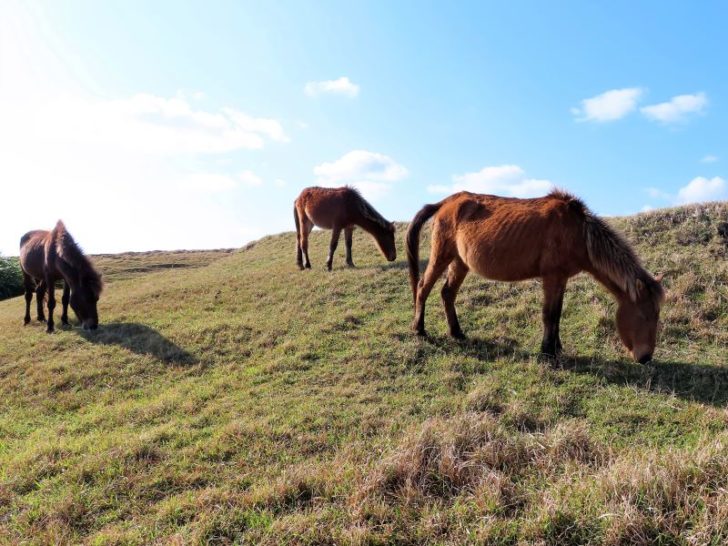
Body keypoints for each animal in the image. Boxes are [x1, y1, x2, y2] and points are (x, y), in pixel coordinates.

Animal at [406, 189, 664, 364]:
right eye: (645, 315)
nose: (646, 357)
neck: (579, 233)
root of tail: (446, 202)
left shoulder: (561, 279)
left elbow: (557, 314)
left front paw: (556, 348)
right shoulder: (552, 277)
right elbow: (549, 315)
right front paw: (547, 351)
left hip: (460, 263)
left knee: (447, 293)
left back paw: (457, 333)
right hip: (442, 255)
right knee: (423, 287)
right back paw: (419, 329)